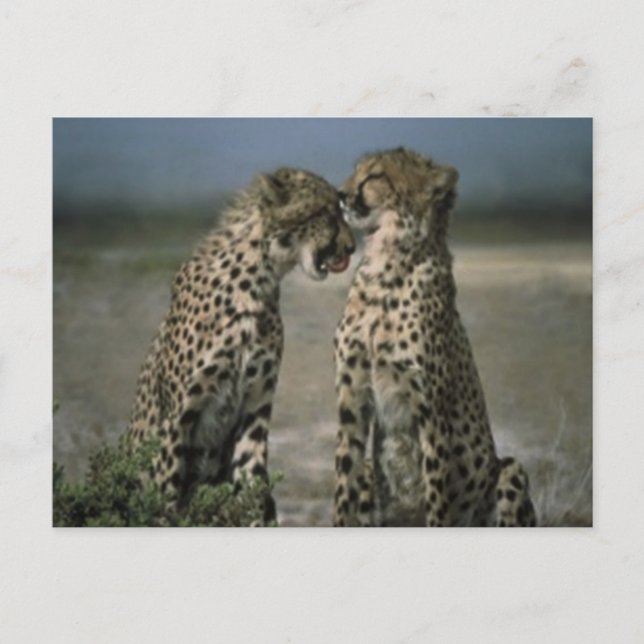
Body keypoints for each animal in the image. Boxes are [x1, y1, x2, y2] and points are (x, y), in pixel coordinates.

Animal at [126, 167, 355, 524]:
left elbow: (254, 485)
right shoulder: (176, 420)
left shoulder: (254, 410)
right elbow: (166, 494)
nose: (353, 247)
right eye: (326, 212)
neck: (256, 281)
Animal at [332, 147, 536, 527]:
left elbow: (437, 499)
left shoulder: (431, 413)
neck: (385, 268)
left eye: (375, 176)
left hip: (508, 471)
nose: (340, 195)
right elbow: (342, 484)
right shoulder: (351, 397)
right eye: (356, 171)